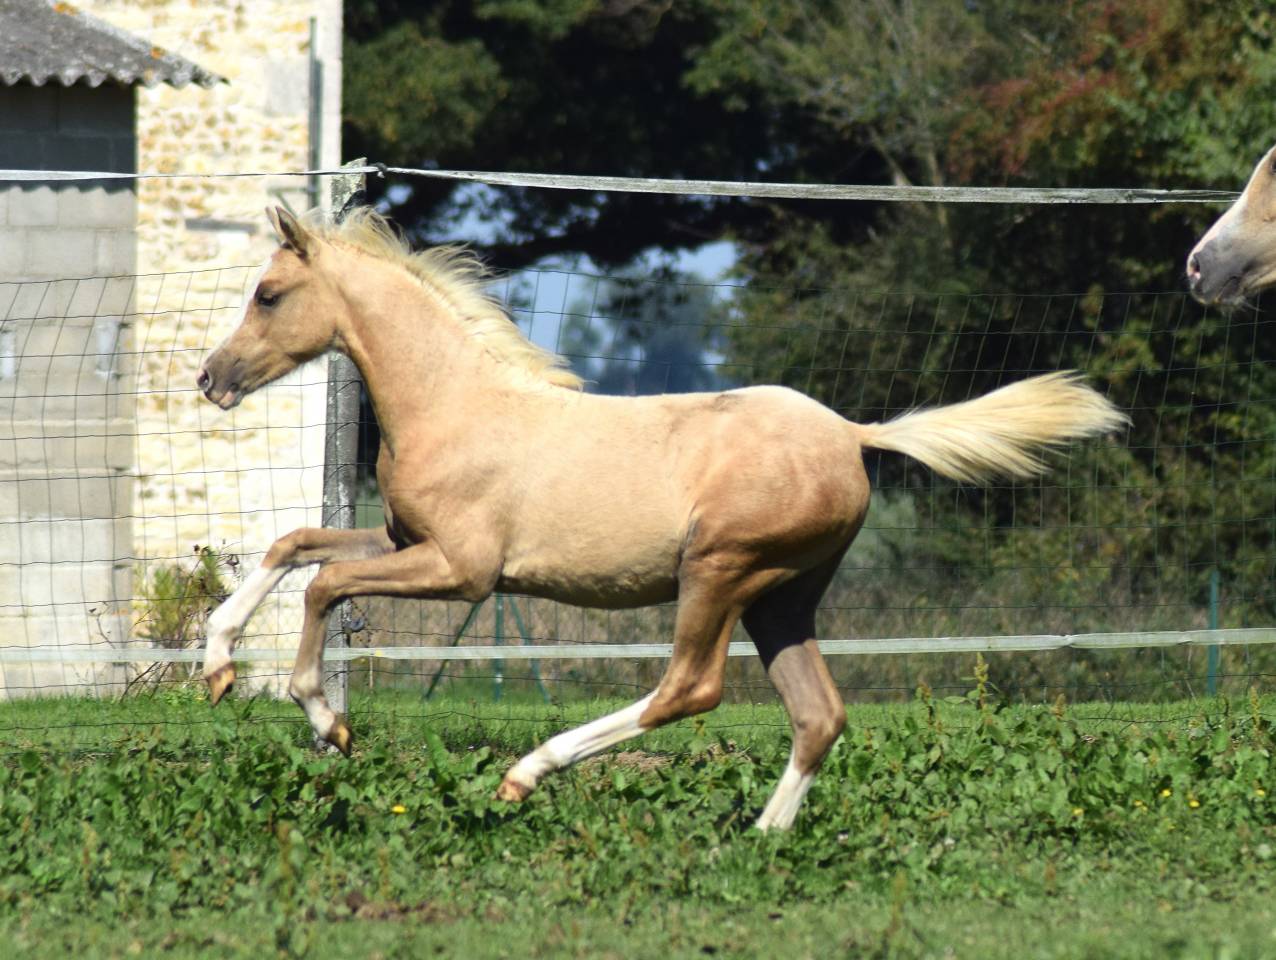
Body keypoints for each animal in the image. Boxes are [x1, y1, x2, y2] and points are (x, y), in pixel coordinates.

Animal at [197, 206, 1127, 831]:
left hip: (719, 571)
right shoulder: (404, 539)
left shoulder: (461, 570)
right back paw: (761, 837)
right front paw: (217, 666)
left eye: (269, 294)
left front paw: (328, 720)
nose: (211, 378)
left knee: (690, 687)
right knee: (818, 714)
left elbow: (326, 585)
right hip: (782, 597)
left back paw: (527, 773)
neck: (454, 403)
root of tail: (854, 435)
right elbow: (294, 545)